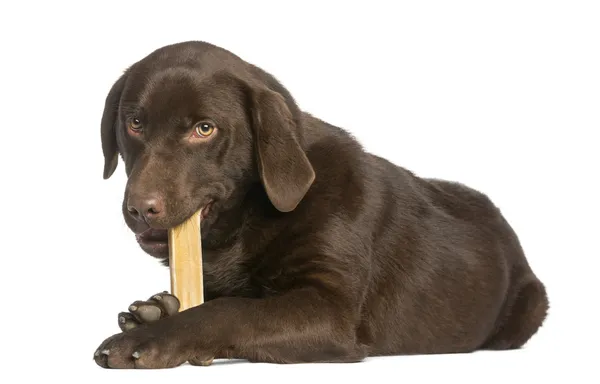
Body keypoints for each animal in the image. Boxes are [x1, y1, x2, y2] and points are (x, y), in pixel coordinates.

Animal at [94, 40, 548, 368]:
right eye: (135, 123)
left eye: (204, 129)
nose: (141, 208)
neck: (248, 223)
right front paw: (153, 313)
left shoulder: (329, 311)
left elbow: (229, 311)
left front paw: (148, 338)